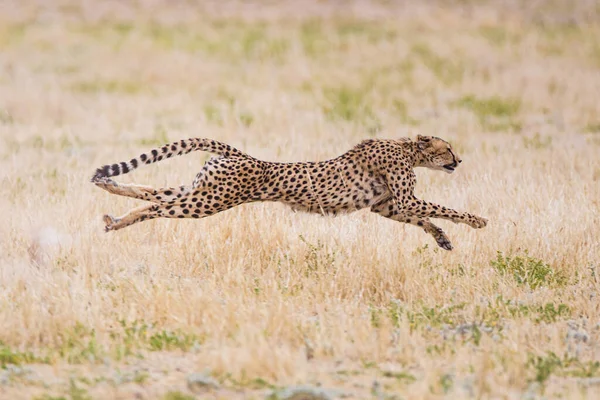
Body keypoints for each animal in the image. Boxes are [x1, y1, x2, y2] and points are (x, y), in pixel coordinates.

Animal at [92, 136, 488, 252]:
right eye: (447, 149)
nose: (459, 159)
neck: (407, 147)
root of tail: (242, 155)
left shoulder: (387, 207)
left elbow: (424, 218)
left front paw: (443, 238)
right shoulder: (402, 199)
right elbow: (441, 208)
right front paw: (477, 220)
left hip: (201, 190)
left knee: (153, 193)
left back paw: (111, 196)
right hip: (208, 201)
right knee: (158, 206)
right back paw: (116, 220)